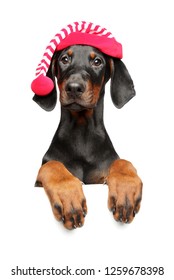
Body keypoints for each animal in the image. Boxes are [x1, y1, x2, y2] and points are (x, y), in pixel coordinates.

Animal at [33, 44, 143, 230]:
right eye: (64, 59)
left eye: (97, 61)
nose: (74, 87)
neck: (82, 133)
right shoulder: (39, 180)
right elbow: (52, 165)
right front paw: (68, 197)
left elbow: (122, 161)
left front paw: (126, 190)